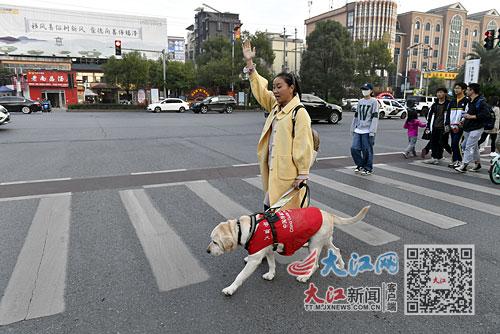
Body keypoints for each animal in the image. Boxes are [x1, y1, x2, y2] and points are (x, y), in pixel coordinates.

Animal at [205, 206, 370, 294]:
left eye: (214, 242)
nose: (207, 251)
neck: (246, 228)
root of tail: (328, 214)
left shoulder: (254, 260)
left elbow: (240, 276)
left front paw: (230, 289)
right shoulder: (269, 250)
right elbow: (272, 263)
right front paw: (271, 274)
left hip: (315, 244)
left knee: (316, 264)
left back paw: (305, 276)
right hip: (325, 240)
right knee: (336, 250)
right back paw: (341, 265)